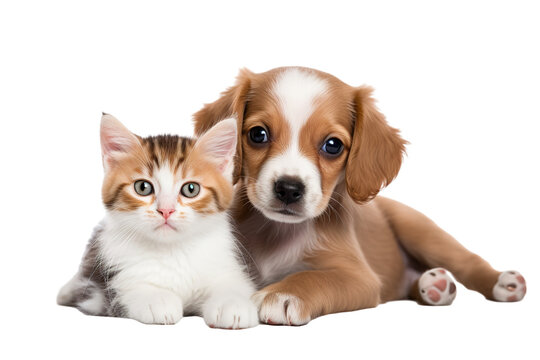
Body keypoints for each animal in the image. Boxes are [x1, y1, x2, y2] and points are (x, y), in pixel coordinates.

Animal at [57, 114, 258, 330]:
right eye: (143, 187)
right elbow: (135, 287)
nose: (166, 210)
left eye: (191, 189)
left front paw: (232, 304)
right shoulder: (107, 285)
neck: (173, 250)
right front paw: (158, 299)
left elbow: (231, 284)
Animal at [194, 66, 528, 324]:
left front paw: (283, 294)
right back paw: (434, 285)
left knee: (468, 261)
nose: (289, 189)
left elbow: (314, 277)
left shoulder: (360, 278)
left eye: (332, 145)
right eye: (258, 134)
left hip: (421, 230)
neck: (278, 233)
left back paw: (502, 282)